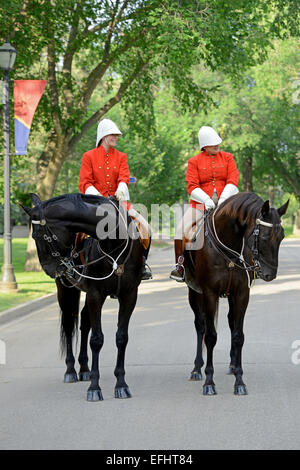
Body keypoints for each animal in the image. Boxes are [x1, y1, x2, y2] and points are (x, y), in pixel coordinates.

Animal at [21, 193, 150, 402]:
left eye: (36, 235)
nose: (49, 270)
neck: (114, 241)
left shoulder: (129, 295)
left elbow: (121, 337)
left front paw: (121, 384)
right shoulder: (95, 294)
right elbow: (96, 339)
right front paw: (94, 388)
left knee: (83, 322)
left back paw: (83, 368)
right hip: (67, 291)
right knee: (68, 324)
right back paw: (71, 370)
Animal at [184, 193, 290, 394]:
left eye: (281, 237)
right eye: (264, 237)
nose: (270, 275)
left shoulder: (241, 293)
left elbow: (238, 335)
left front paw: (239, 380)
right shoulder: (209, 293)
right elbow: (210, 336)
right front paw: (209, 381)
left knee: (231, 321)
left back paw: (232, 366)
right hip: (194, 292)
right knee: (200, 325)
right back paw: (196, 368)